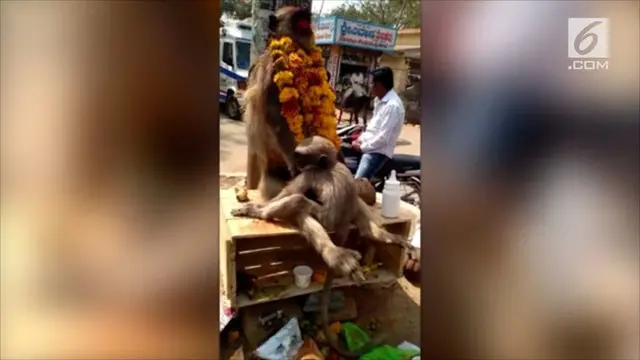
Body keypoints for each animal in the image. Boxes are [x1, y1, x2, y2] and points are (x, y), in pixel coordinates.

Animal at [232, 135, 408, 278]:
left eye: (301, 157)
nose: (296, 162)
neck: (330, 166)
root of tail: (342, 222)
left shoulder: (310, 173)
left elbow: (288, 195)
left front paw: (253, 209)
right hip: (350, 210)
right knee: (361, 218)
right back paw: (382, 236)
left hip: (325, 218)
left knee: (298, 201)